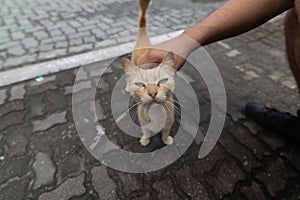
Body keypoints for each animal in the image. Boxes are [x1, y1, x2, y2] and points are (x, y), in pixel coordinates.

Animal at [121, 0, 175, 147]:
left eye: (162, 81)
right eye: (140, 84)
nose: (152, 93)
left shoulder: (169, 122)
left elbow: (165, 132)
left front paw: (166, 140)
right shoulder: (143, 122)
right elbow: (146, 131)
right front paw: (145, 140)